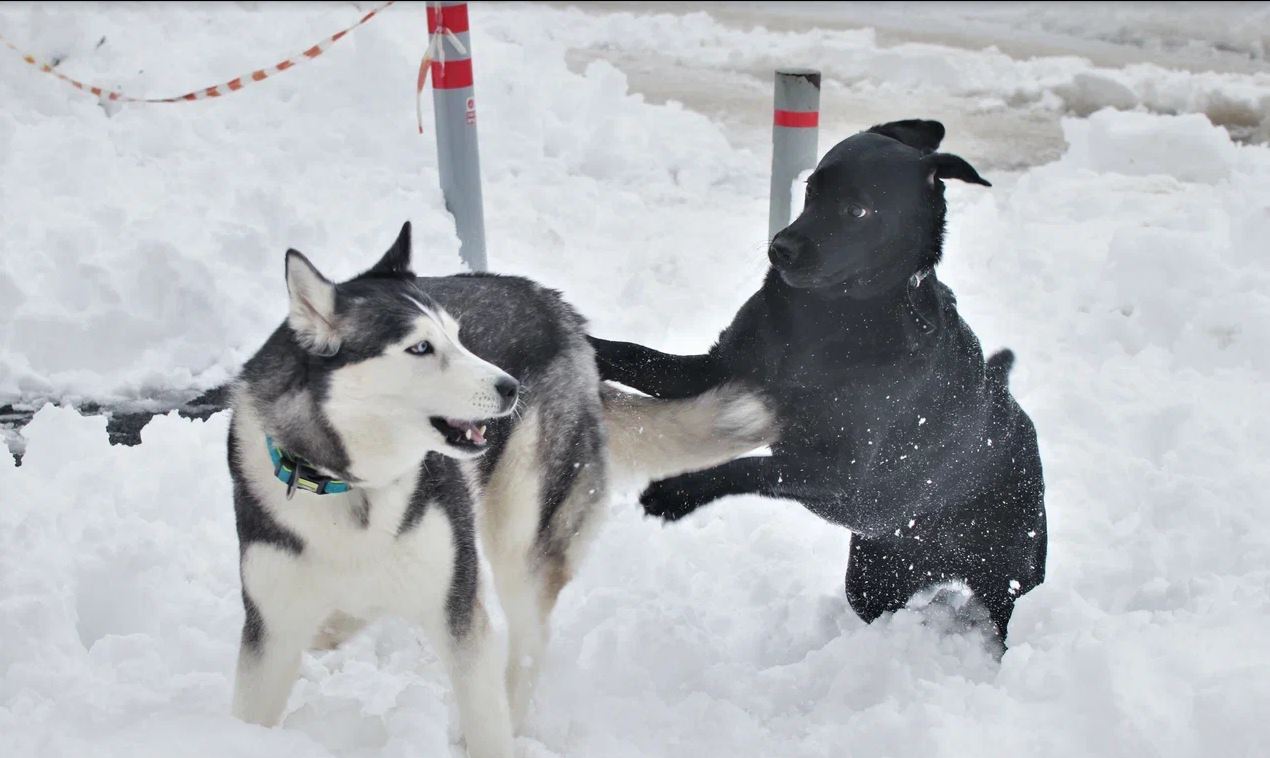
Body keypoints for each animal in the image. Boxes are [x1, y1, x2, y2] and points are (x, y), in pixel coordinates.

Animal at [228, 222, 772, 751]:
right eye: (420, 347)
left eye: (458, 337)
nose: (512, 387)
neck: (350, 486)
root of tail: (559, 309)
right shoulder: (271, 631)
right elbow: (252, 715)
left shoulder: (458, 615)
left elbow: (486, 711)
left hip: (522, 535)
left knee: (526, 644)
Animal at [589, 119, 1046, 644]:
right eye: (809, 190)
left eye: (857, 210)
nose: (779, 248)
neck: (833, 313)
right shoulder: (722, 373)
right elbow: (633, 354)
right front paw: (579, 341)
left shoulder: (836, 472)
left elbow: (750, 468)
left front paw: (676, 492)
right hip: (872, 580)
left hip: (1007, 579)